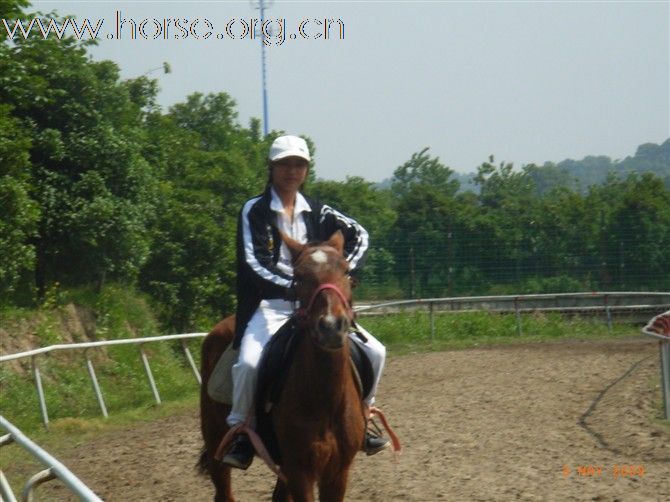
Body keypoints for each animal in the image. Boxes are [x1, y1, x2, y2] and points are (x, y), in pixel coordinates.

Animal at [200, 232, 368, 502]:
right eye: (298, 277)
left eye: (346, 271)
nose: (331, 326)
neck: (325, 397)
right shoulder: (300, 470)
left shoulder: (337, 471)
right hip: (216, 442)